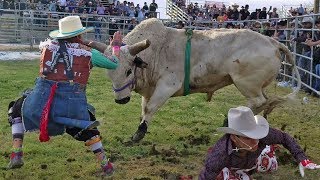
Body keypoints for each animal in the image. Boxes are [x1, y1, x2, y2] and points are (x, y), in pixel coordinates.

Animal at [96, 18, 302, 142]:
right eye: (109, 74)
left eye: (128, 71)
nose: (121, 100)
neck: (155, 50)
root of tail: (272, 42)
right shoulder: (149, 89)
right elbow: (144, 108)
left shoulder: (168, 85)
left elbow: (150, 108)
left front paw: (139, 133)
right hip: (258, 85)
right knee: (265, 101)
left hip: (245, 82)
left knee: (257, 101)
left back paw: (228, 123)